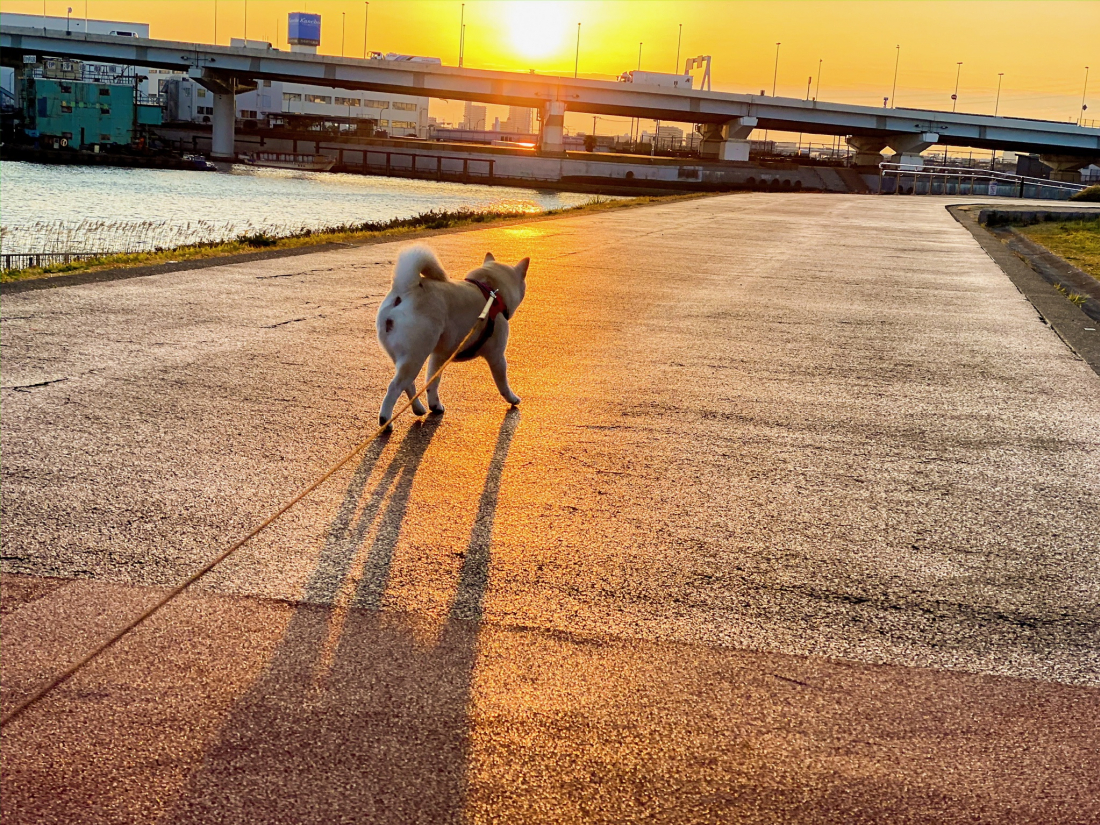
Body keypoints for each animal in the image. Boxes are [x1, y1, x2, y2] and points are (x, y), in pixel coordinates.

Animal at [376, 245, 530, 426]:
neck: (491, 290)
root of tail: (406, 290)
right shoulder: (497, 356)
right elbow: (503, 383)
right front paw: (512, 399)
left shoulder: (438, 356)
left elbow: (432, 383)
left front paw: (435, 405)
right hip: (415, 357)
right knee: (394, 387)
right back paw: (385, 420)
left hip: (406, 358)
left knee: (409, 385)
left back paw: (418, 408)